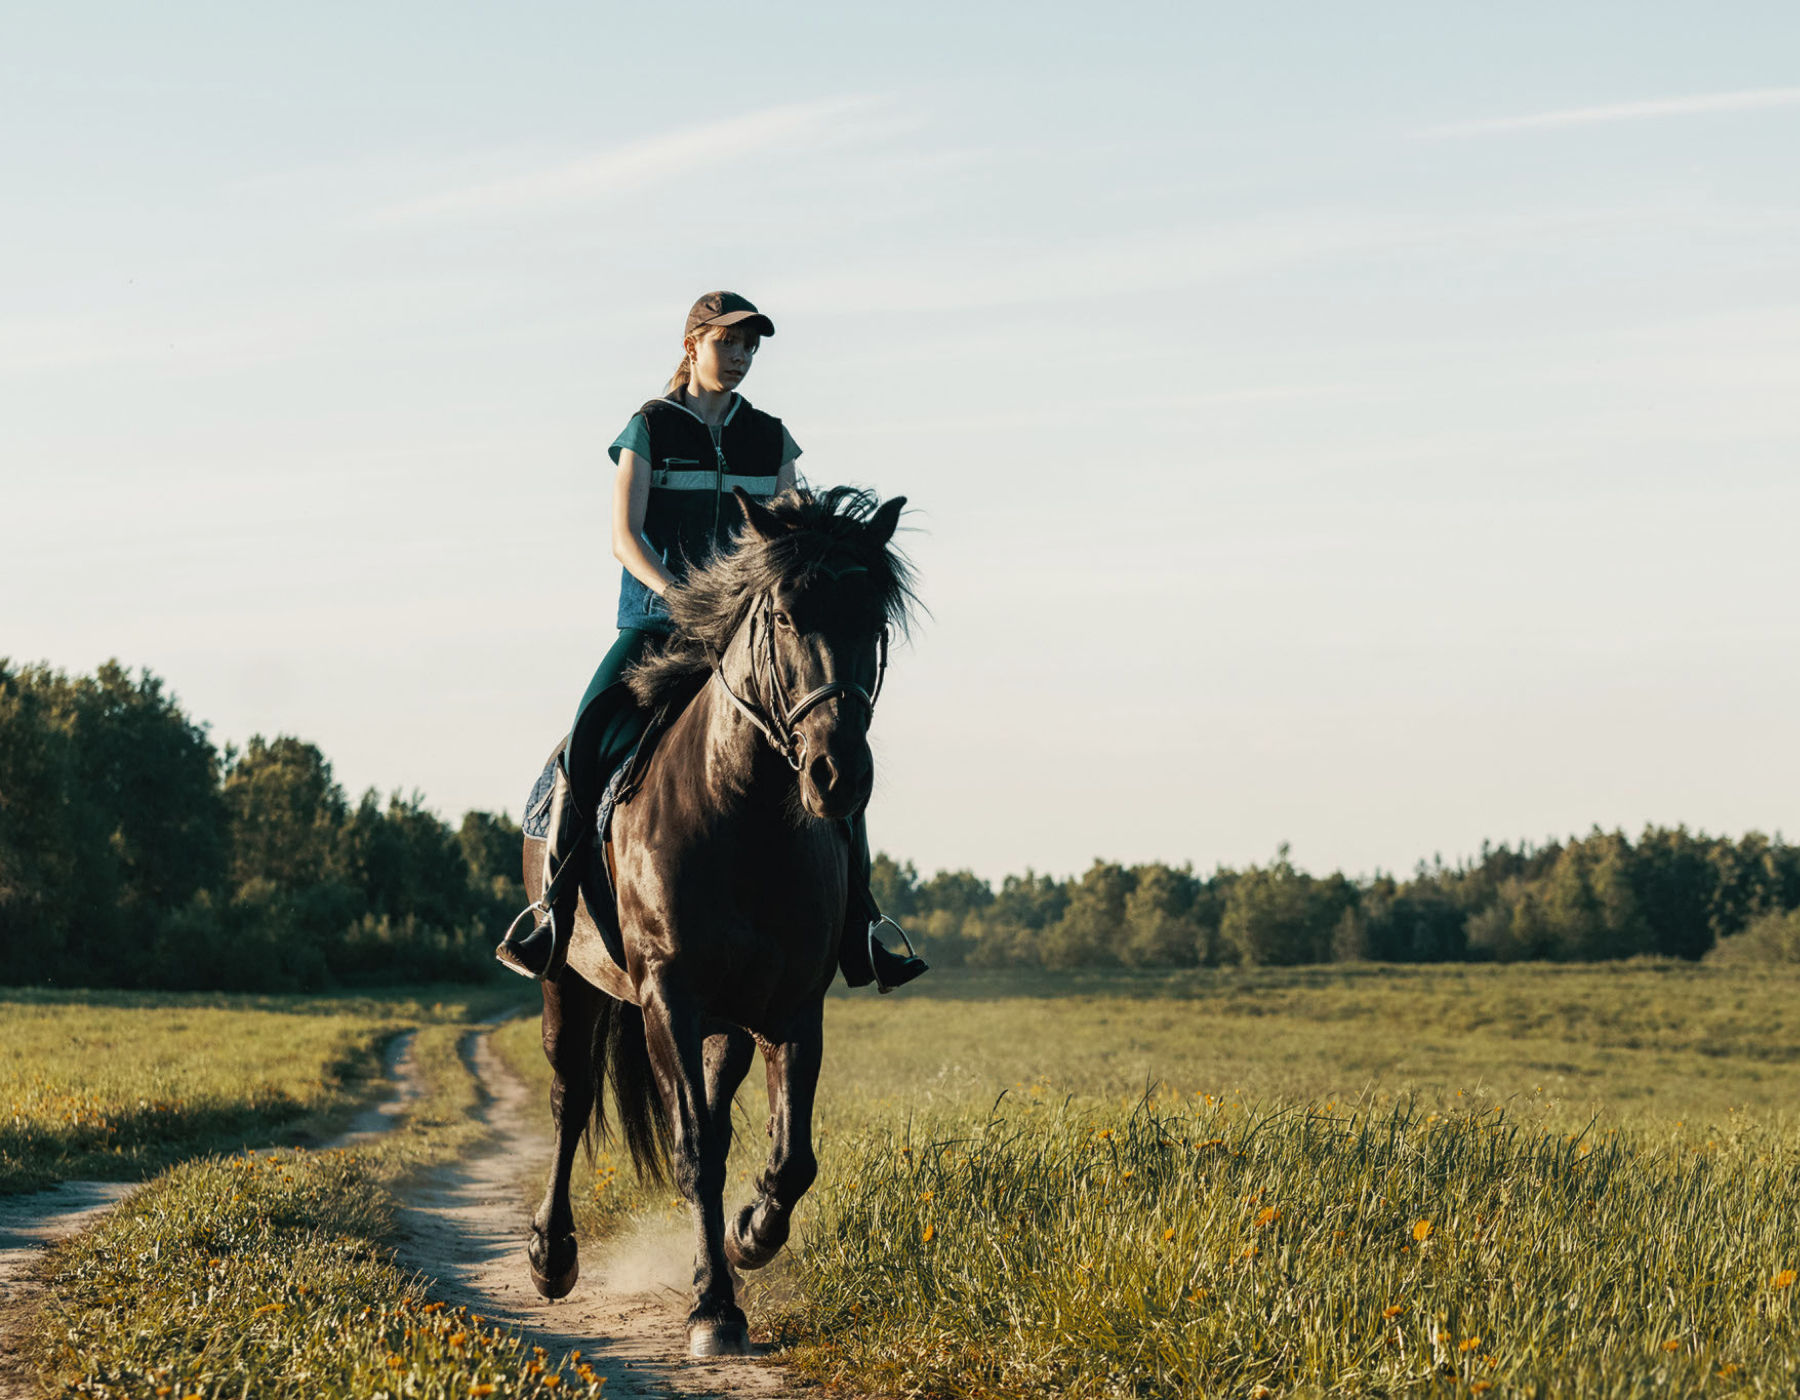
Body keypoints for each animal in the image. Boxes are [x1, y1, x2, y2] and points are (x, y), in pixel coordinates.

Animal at [518, 482, 914, 1353]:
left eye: (873, 623)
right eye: (787, 617)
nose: (838, 775)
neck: (744, 814)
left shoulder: (792, 1006)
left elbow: (789, 1157)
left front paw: (749, 1237)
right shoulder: (668, 995)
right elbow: (693, 1148)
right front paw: (714, 1310)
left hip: (726, 1026)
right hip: (568, 980)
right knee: (570, 1101)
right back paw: (552, 1256)